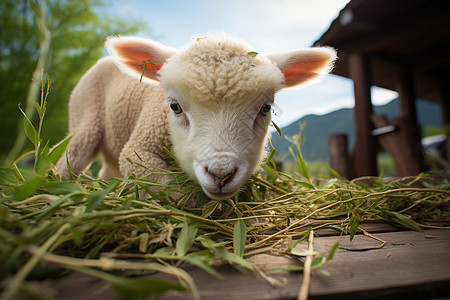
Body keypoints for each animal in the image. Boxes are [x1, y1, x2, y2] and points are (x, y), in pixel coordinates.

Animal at [56, 33, 336, 199]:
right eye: (174, 107)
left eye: (265, 108)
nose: (221, 174)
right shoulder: (139, 150)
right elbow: (173, 188)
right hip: (84, 118)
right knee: (71, 158)